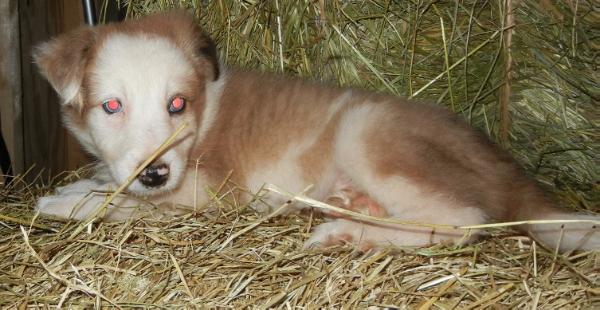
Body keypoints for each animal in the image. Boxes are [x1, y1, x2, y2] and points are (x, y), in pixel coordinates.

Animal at [35, 11, 596, 252]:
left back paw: (345, 233)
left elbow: (123, 203)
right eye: (112, 106)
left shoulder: (210, 190)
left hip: (366, 131)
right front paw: (81, 186)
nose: (155, 173)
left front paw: (64, 202)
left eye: (178, 104)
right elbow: (109, 183)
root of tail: (509, 170)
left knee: (463, 219)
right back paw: (350, 209)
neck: (207, 112)